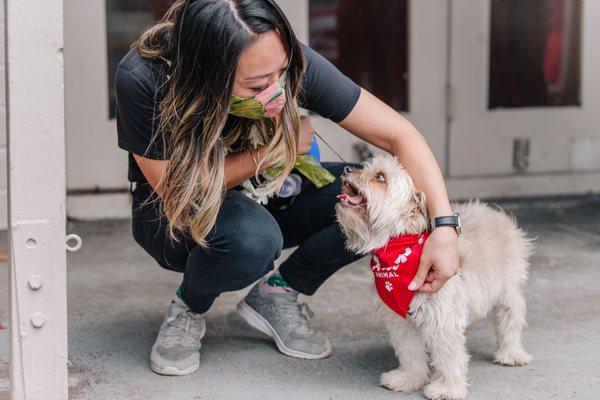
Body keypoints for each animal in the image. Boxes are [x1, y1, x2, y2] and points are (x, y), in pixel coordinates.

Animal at [336, 152, 536, 398]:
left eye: (380, 176)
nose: (346, 169)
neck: (401, 244)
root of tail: (497, 214)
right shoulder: (401, 321)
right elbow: (410, 352)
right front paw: (409, 379)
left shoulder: (443, 318)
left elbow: (449, 356)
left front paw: (447, 388)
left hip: (507, 291)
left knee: (511, 320)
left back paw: (512, 353)